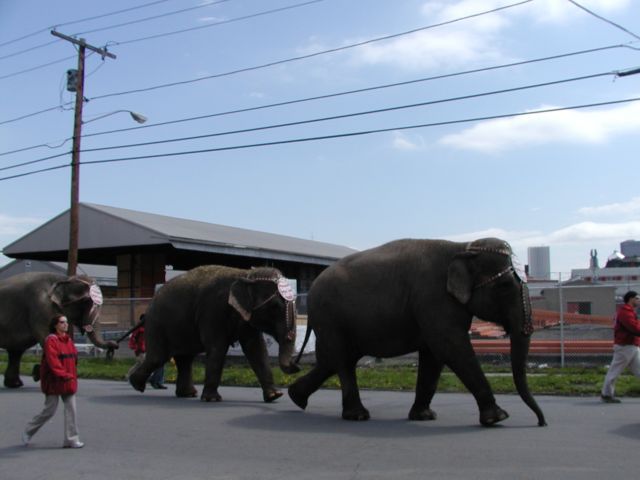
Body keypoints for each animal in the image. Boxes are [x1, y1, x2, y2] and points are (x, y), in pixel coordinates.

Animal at [130, 264, 302, 404]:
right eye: (274, 306)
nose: (297, 365)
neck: (246, 274)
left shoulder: (245, 317)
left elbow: (256, 349)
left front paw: (275, 396)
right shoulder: (212, 310)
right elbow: (217, 347)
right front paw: (212, 400)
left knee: (185, 359)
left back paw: (187, 394)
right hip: (158, 325)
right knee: (158, 357)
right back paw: (136, 385)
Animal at [288, 238, 544, 426]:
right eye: (504, 286)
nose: (541, 422)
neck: (462, 248)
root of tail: (312, 289)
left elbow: (434, 356)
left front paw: (424, 417)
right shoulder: (433, 298)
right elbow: (450, 347)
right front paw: (498, 418)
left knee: (334, 360)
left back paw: (296, 397)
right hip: (330, 318)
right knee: (341, 360)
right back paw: (357, 415)